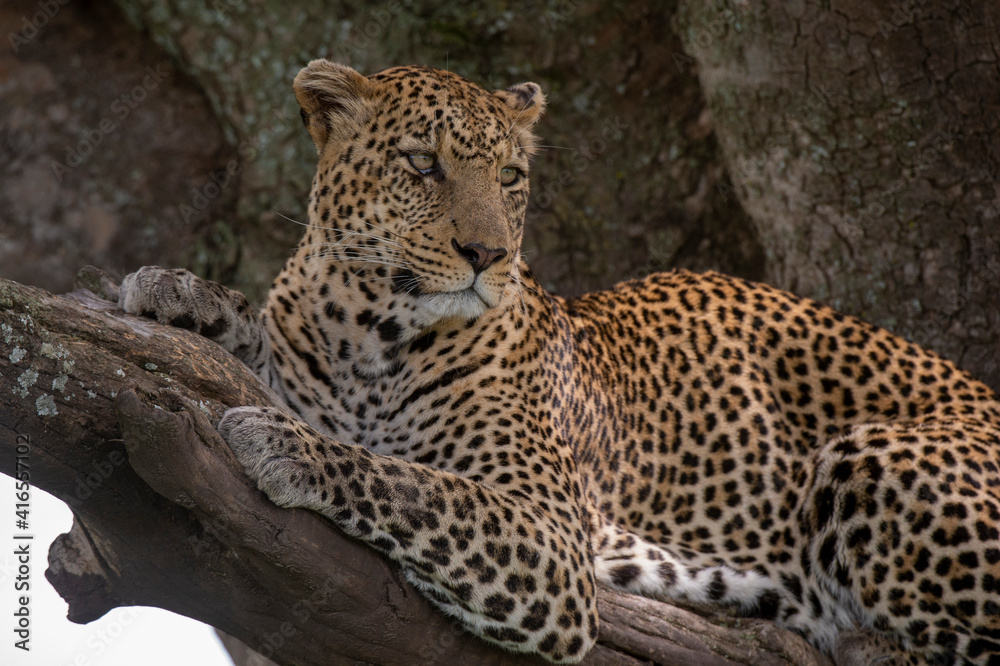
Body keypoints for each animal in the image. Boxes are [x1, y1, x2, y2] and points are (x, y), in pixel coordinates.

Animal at [118, 59, 1000, 665]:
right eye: (422, 163)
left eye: (510, 176)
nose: (487, 254)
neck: (372, 333)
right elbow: (264, 347)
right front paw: (178, 292)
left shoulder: (548, 536)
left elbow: (416, 483)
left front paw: (289, 448)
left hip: (874, 455)